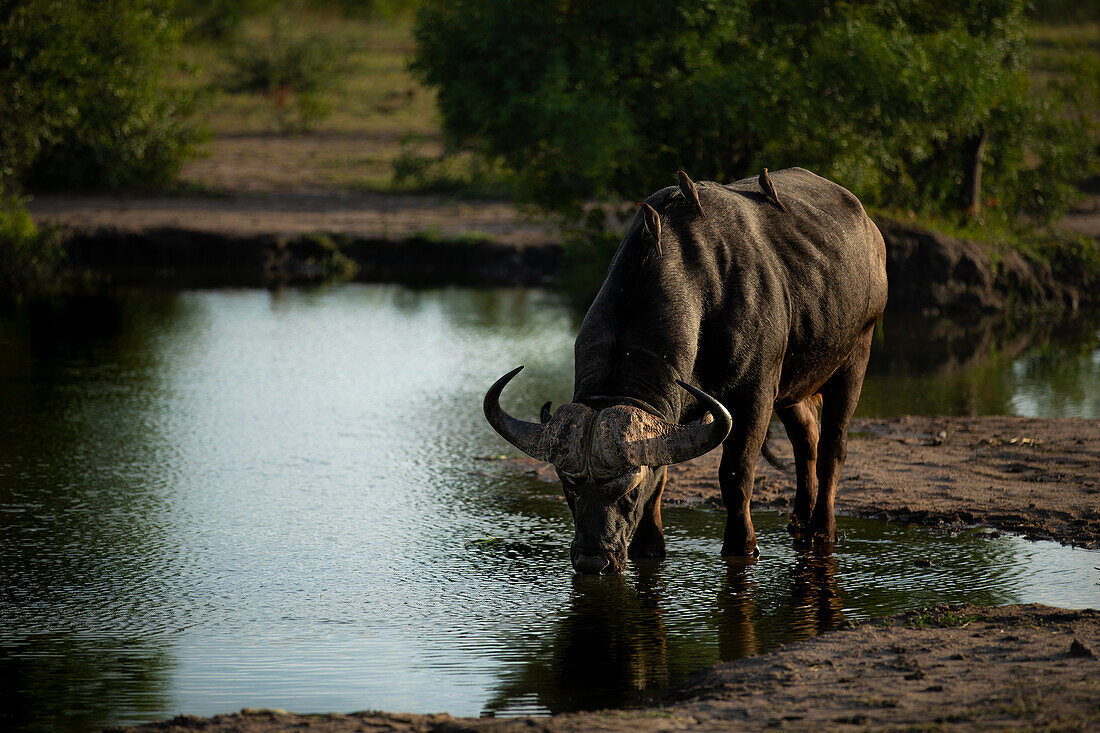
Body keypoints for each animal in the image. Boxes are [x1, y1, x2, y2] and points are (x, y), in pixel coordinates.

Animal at [486, 168, 888, 572]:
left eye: (628, 489)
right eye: (569, 486)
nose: (592, 561)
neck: (701, 287)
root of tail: (870, 231)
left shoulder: (755, 395)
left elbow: (736, 473)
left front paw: (742, 545)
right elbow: (662, 477)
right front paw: (649, 545)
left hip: (856, 355)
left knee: (833, 446)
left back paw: (823, 528)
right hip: (794, 384)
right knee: (806, 437)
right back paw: (800, 522)